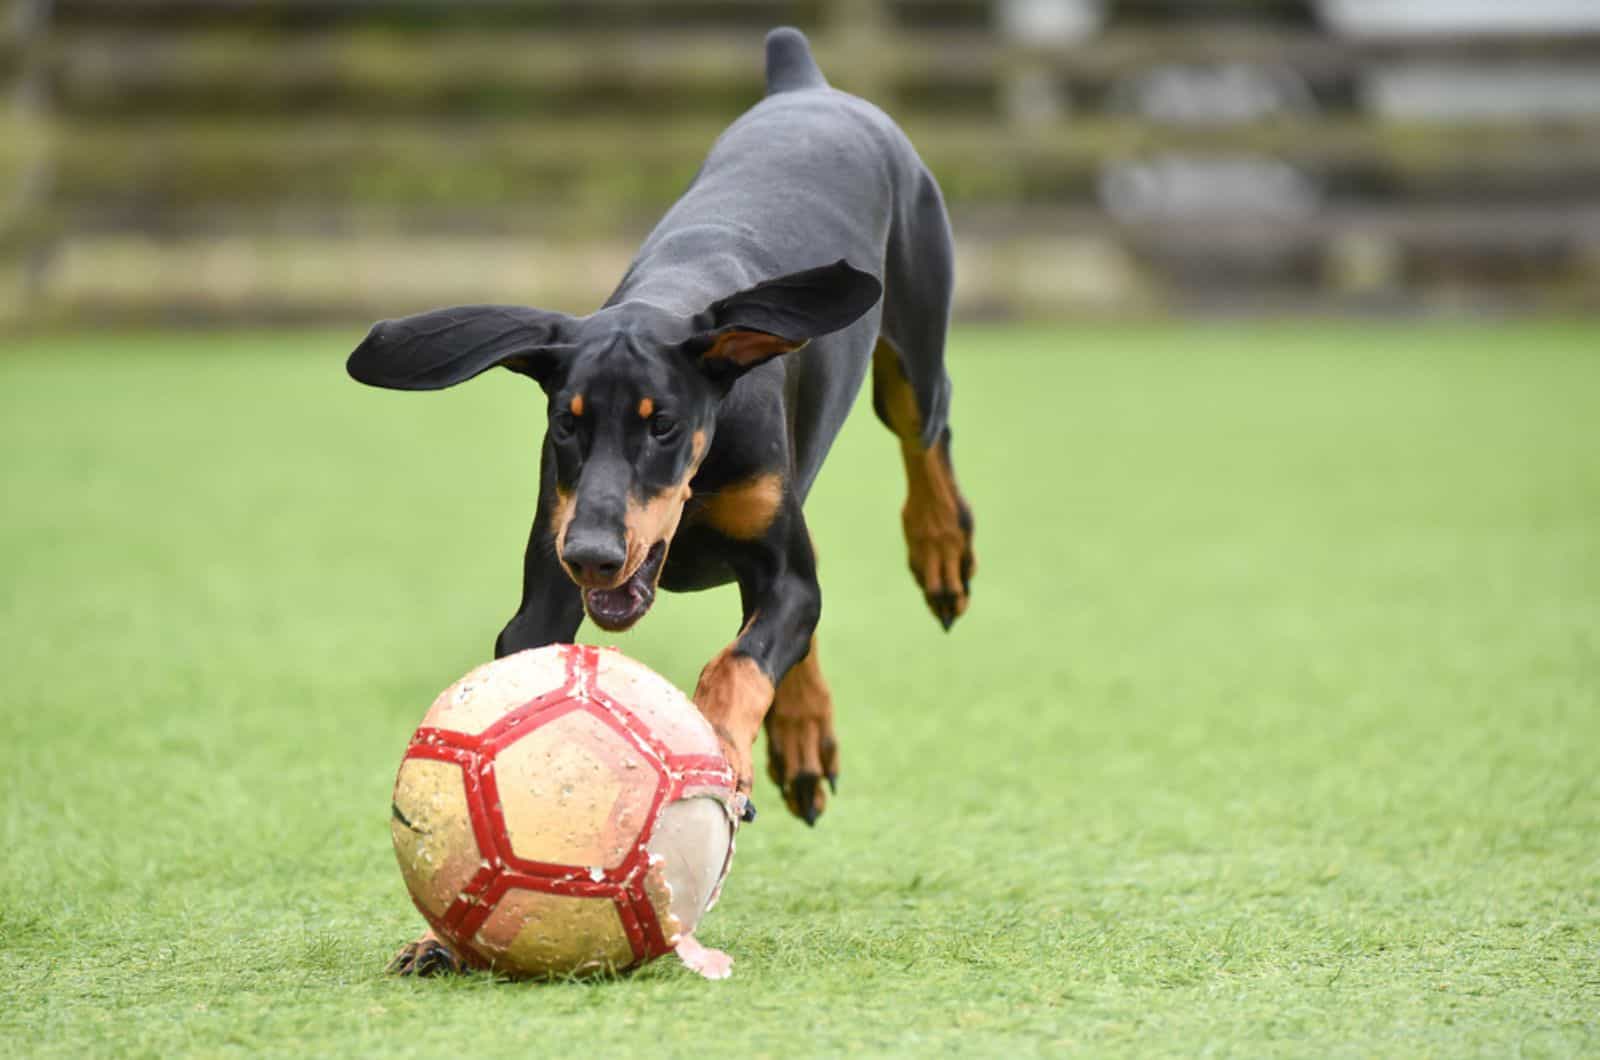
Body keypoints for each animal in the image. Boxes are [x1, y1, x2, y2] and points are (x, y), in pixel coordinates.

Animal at [350, 27, 972, 979]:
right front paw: (439, 932)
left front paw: (717, 746)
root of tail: (805, 84)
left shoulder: (779, 563)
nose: (595, 555)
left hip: (914, 331)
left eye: (663, 424)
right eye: (566, 425)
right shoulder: (547, 580)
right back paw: (802, 738)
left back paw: (941, 550)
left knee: (925, 428)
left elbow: (740, 661)